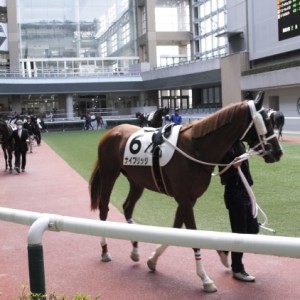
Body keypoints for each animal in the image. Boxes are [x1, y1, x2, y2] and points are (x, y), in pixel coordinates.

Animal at [89, 91, 282, 292]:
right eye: (266, 121)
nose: (277, 152)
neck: (195, 149)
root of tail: (111, 132)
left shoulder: (188, 199)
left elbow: (176, 229)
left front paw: (153, 260)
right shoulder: (184, 199)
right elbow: (192, 234)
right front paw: (205, 278)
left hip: (136, 181)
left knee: (127, 207)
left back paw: (135, 249)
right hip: (109, 174)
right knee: (104, 209)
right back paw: (105, 251)